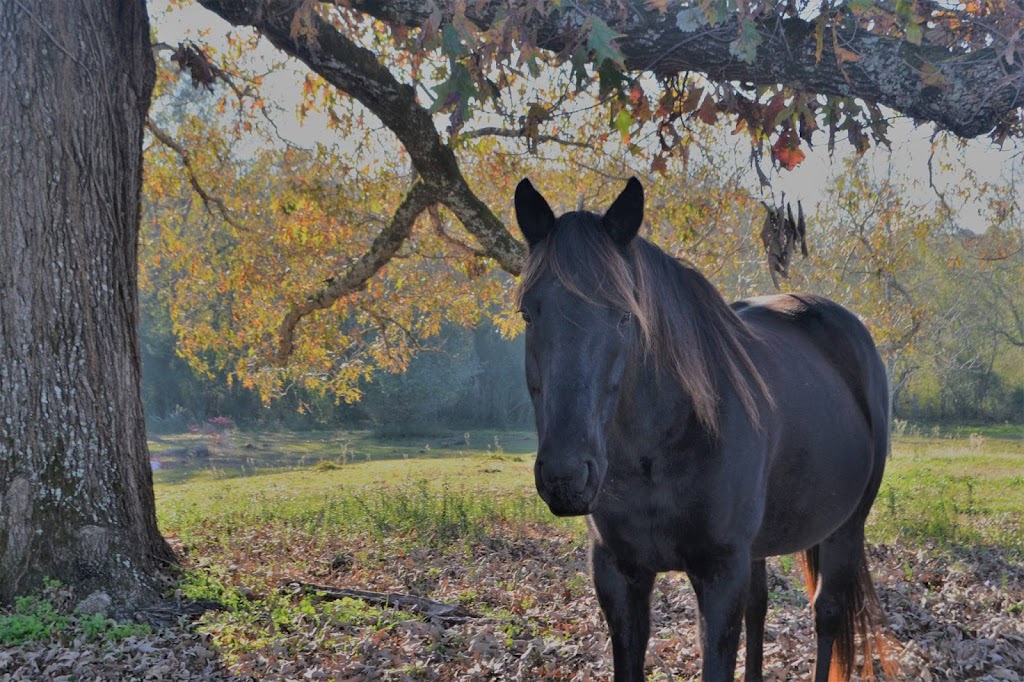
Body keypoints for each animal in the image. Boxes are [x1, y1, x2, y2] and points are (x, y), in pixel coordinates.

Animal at [516, 178, 892, 675]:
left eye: (624, 315)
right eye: (527, 313)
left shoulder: (720, 574)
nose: (565, 477)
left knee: (826, 614)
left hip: (845, 530)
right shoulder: (618, 575)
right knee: (759, 609)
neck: (659, 450)